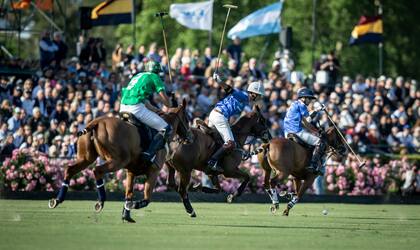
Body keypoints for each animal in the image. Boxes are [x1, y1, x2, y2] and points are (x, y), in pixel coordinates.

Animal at [47, 100, 189, 220]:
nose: (190, 136)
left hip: (86, 158)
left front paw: (126, 215)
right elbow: (146, 199)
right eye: (187, 118)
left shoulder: (131, 171)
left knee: (70, 169)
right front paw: (132, 206)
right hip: (118, 160)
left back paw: (57, 200)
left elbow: (128, 194)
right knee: (97, 170)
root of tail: (97, 122)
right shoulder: (154, 170)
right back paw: (100, 202)